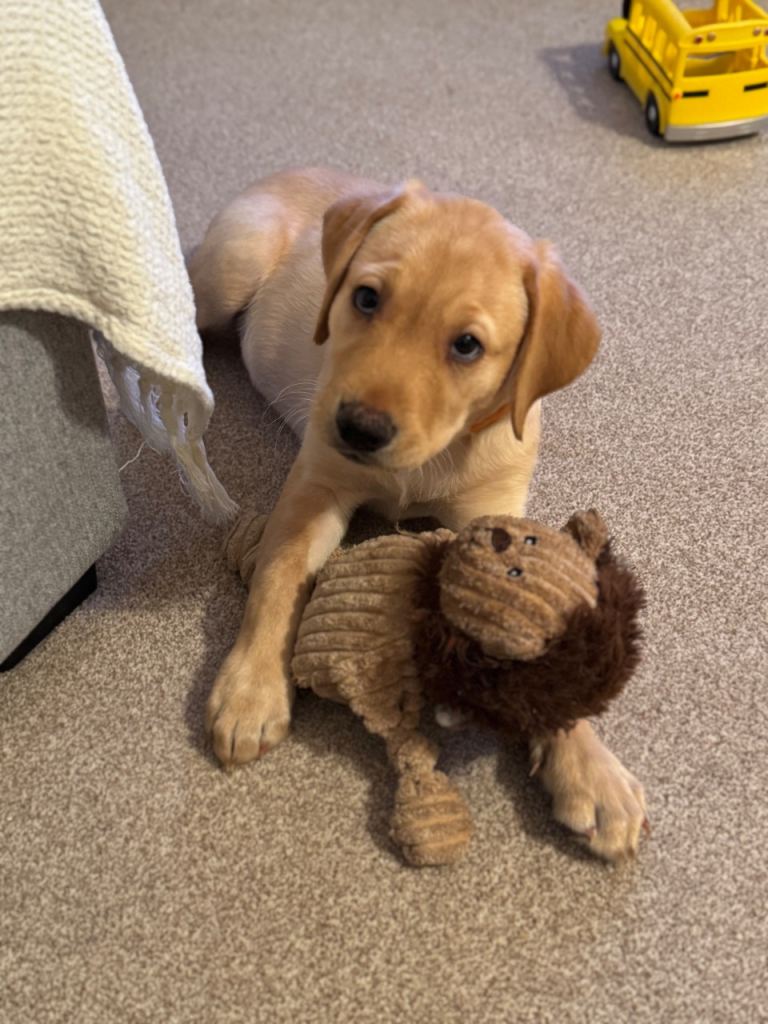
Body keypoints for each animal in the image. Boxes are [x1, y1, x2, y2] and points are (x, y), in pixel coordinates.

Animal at [189, 167, 648, 860]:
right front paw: (251, 688)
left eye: (467, 346)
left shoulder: (493, 514)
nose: (358, 427)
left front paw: (591, 770)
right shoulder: (316, 482)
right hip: (232, 266)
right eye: (366, 298)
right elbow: (278, 576)